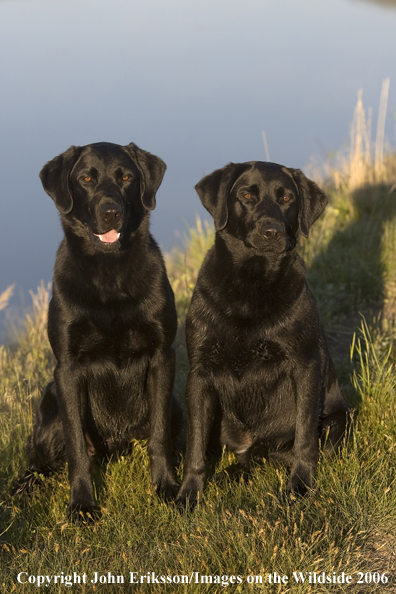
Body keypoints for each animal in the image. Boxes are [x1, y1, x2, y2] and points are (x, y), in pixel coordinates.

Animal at [13, 141, 181, 520]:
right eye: (86, 179)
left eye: (127, 178)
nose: (111, 213)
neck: (110, 274)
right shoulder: (68, 369)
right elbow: (76, 446)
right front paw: (82, 504)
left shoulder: (162, 357)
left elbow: (160, 435)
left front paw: (165, 486)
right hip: (49, 410)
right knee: (39, 463)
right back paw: (20, 491)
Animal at [176, 160, 350, 502]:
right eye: (246, 195)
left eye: (287, 198)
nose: (272, 232)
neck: (251, 283)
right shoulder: (199, 374)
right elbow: (195, 446)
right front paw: (189, 493)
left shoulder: (305, 365)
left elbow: (304, 438)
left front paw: (301, 485)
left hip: (337, 422)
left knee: (272, 452)